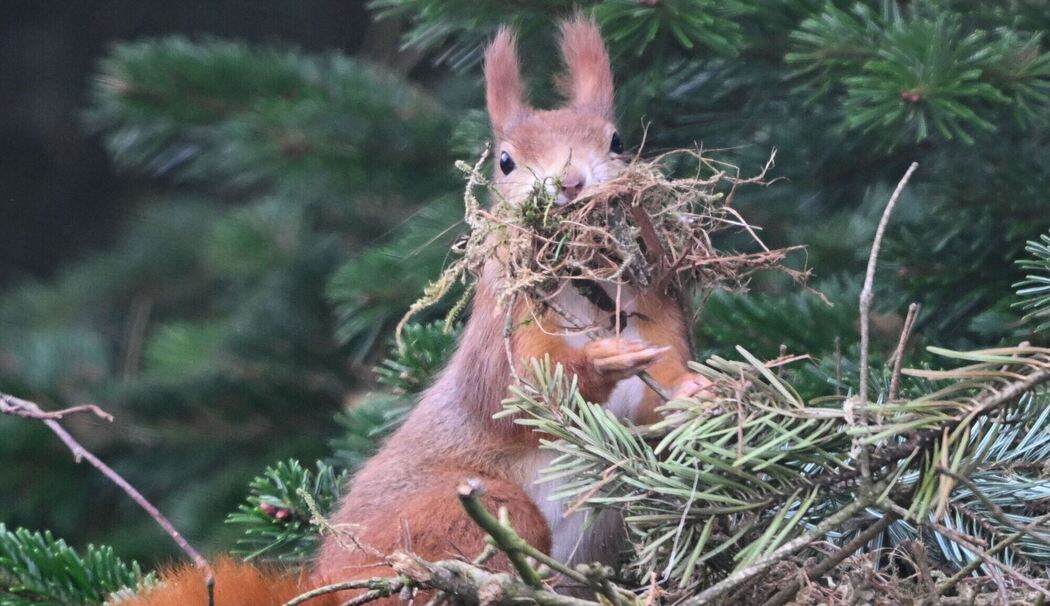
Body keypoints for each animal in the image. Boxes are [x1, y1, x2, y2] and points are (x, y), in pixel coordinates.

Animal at [124, 17, 709, 606]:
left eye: (617, 142)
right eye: (505, 161)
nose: (569, 184)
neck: (586, 289)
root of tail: (329, 583)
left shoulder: (660, 317)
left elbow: (655, 407)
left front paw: (697, 391)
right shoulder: (501, 331)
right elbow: (513, 393)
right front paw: (599, 361)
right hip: (460, 513)